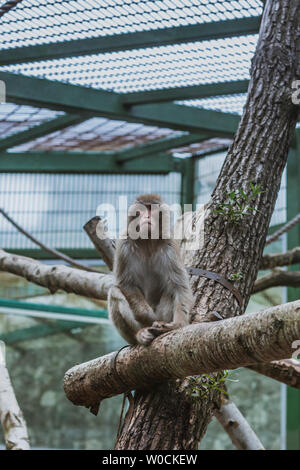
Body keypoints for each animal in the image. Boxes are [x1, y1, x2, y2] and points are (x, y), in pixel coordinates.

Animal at [108, 192, 195, 346]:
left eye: (151, 209)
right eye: (141, 209)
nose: (146, 217)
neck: (147, 241)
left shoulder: (169, 245)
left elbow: (179, 287)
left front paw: (177, 324)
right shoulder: (123, 244)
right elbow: (126, 284)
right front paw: (147, 316)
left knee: (170, 291)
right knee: (114, 292)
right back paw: (139, 335)